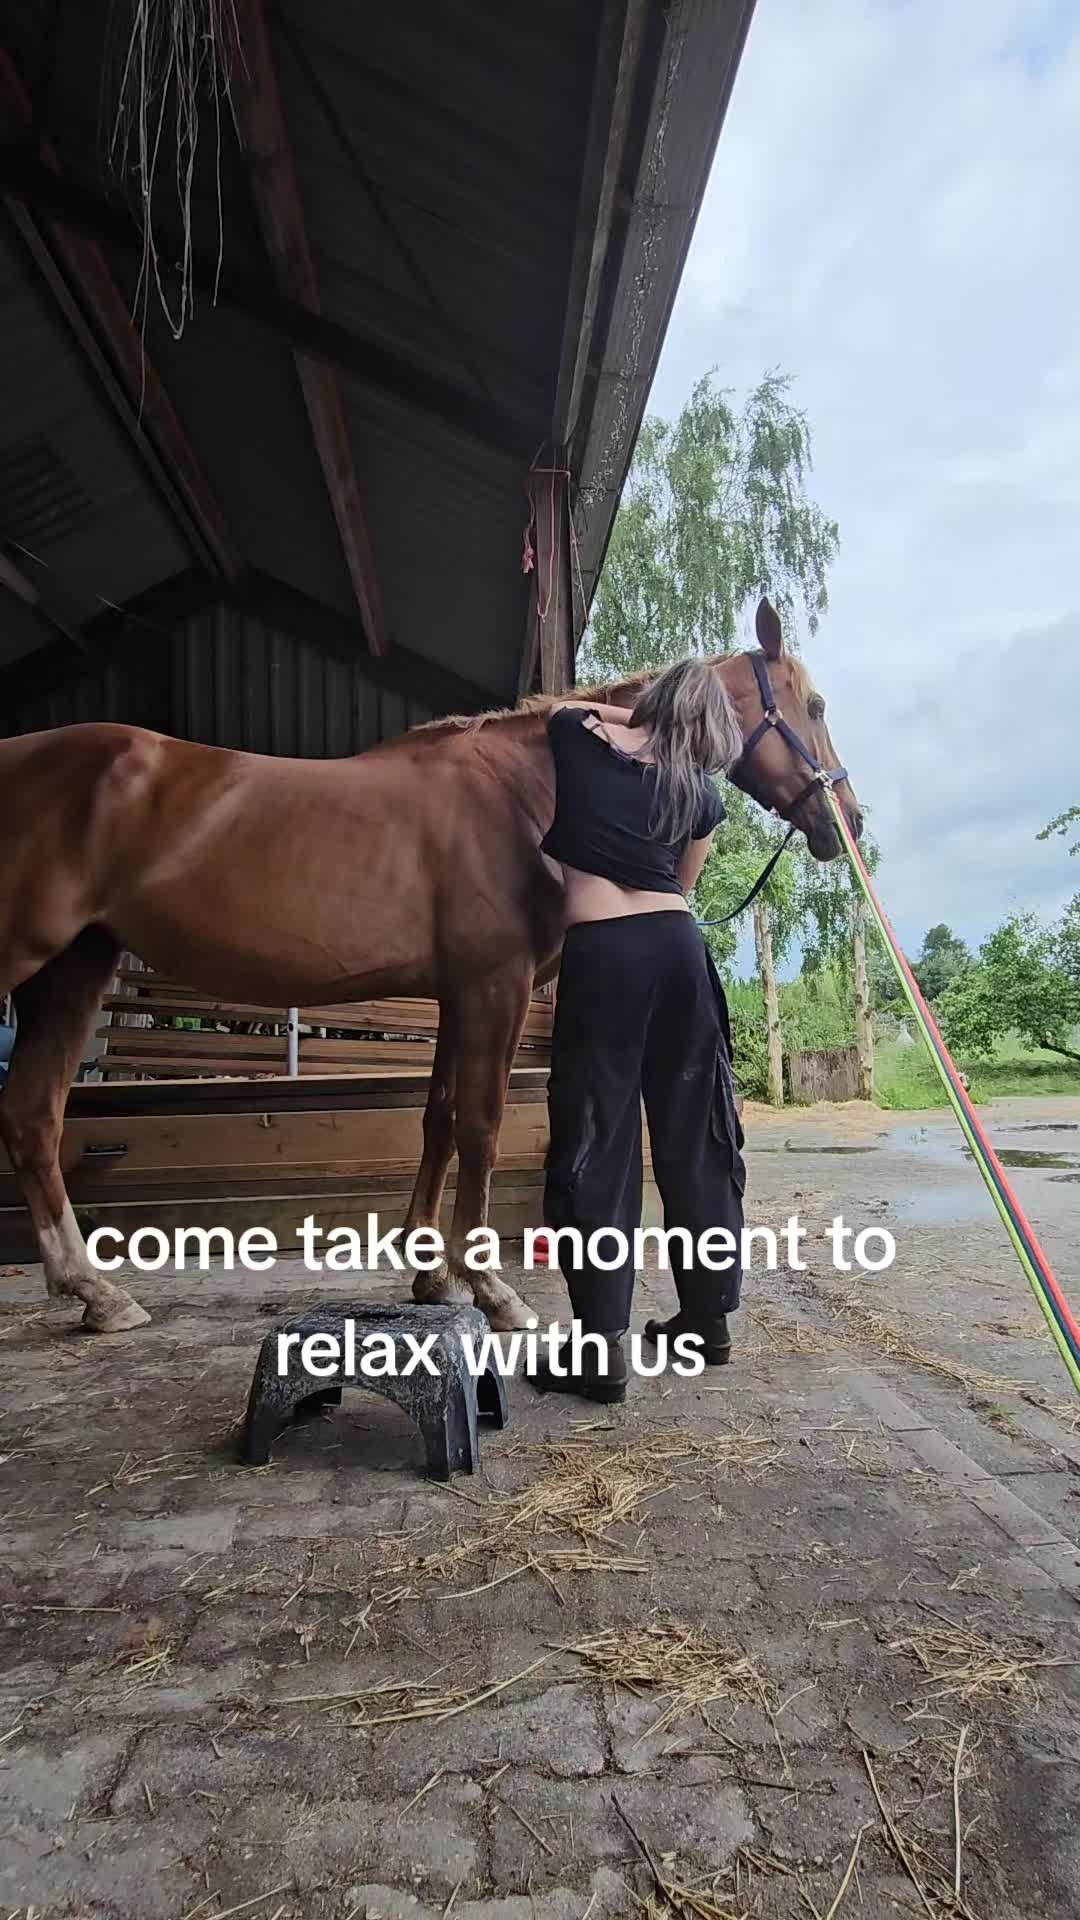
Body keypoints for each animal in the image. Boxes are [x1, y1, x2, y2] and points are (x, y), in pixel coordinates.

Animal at [0, 598, 861, 1335]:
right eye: (816, 708)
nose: (846, 821)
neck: (528, 791)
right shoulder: (493, 986)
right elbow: (480, 1126)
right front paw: (490, 1287)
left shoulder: (457, 993)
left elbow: (440, 1118)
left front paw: (432, 1272)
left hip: (74, 969)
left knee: (33, 1114)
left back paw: (97, 1293)